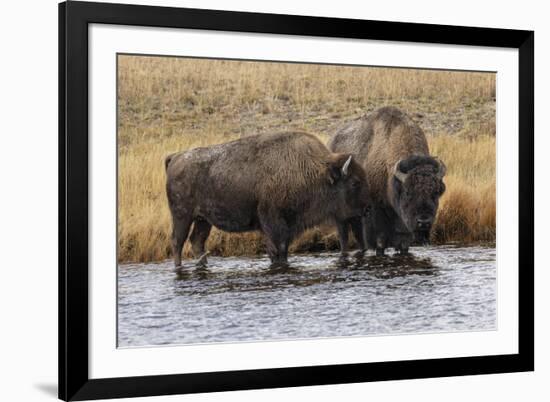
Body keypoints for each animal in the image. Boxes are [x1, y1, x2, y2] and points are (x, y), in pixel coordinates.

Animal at [165, 130, 370, 266]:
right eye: (355, 183)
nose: (366, 209)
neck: (312, 171)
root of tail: (175, 157)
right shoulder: (274, 225)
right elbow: (278, 250)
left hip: (203, 220)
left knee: (197, 241)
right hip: (182, 216)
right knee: (177, 241)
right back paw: (178, 268)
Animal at [330, 107, 446, 256]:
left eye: (436, 193)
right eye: (407, 192)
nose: (424, 222)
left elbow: (404, 244)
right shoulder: (375, 215)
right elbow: (380, 242)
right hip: (341, 217)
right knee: (343, 237)